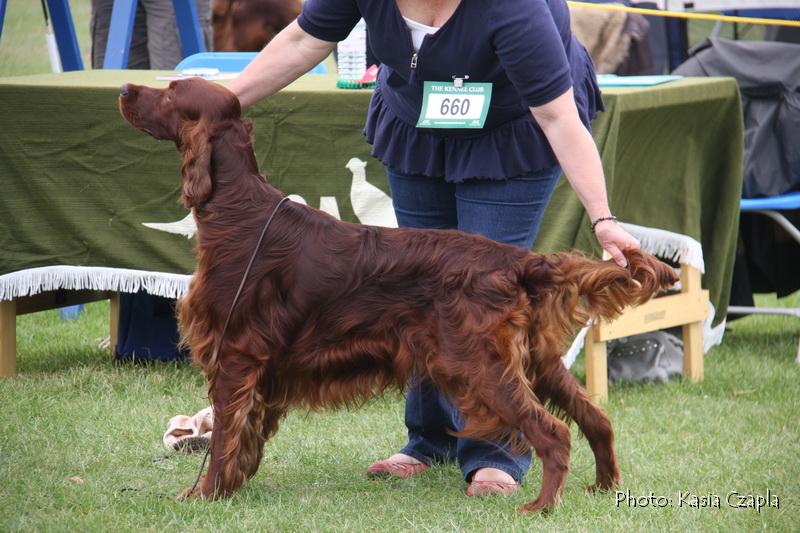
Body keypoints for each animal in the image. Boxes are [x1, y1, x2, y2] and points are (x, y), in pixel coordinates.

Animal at [119, 78, 680, 512]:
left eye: (170, 93)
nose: (125, 89)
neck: (237, 210)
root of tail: (516, 261)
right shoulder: (257, 368)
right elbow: (243, 438)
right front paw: (232, 487)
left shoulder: (235, 355)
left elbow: (222, 439)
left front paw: (203, 496)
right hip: (535, 361)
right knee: (596, 418)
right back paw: (603, 487)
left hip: (480, 366)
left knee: (553, 433)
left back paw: (540, 506)